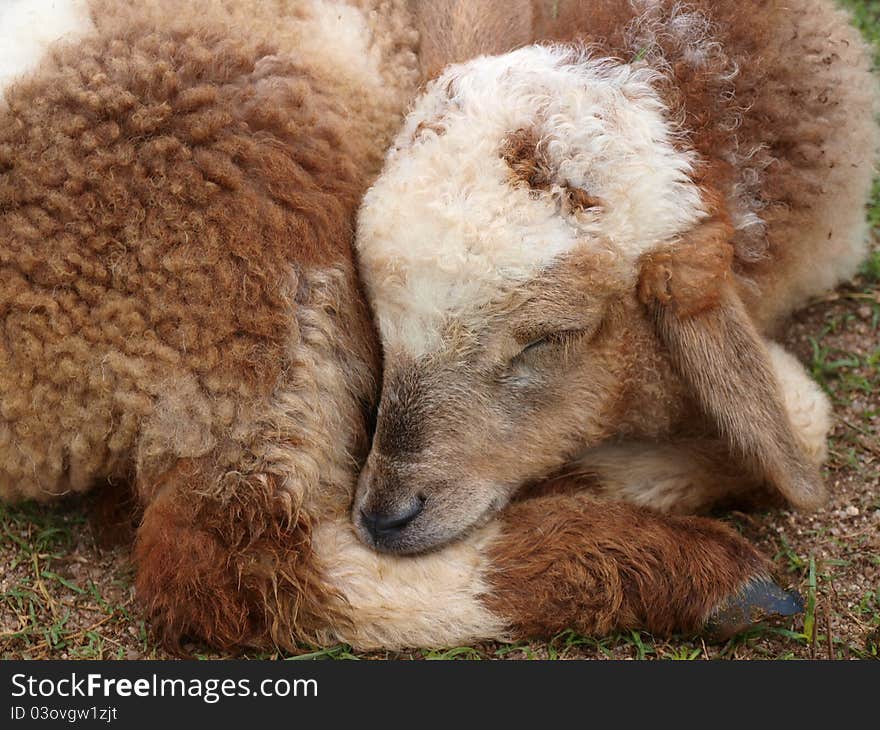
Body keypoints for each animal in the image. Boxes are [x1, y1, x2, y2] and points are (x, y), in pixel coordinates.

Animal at [0, 0, 808, 648]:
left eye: (547, 339)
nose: (387, 513)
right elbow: (808, 413)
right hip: (229, 220)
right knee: (235, 564)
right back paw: (701, 577)